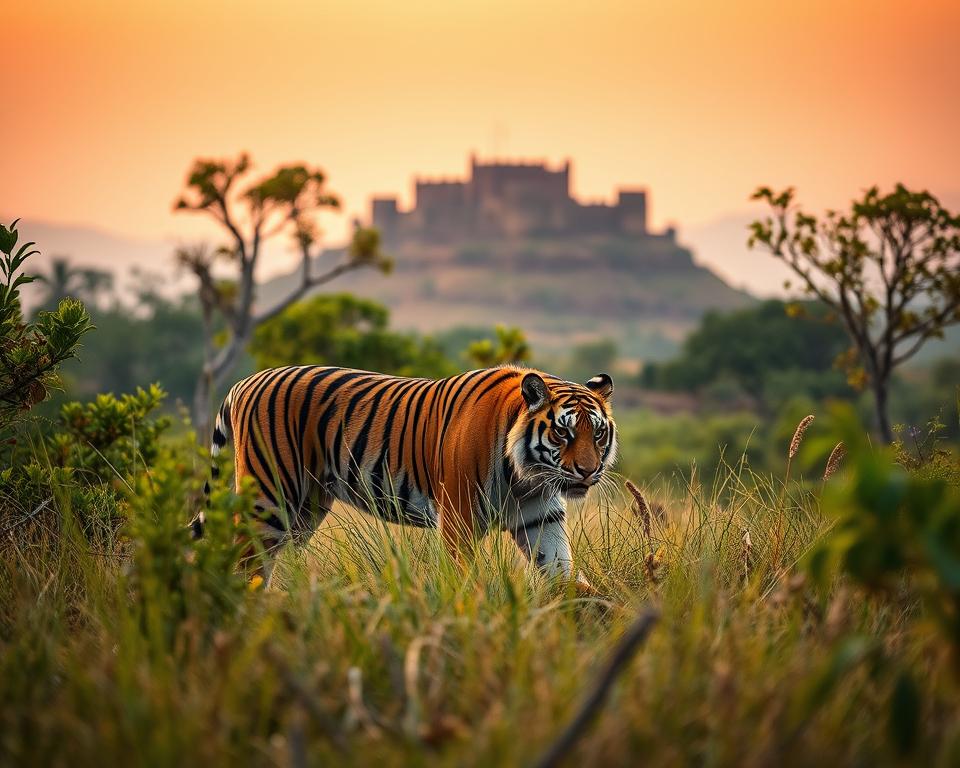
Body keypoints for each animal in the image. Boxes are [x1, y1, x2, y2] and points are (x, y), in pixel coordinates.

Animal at [194, 365, 617, 587]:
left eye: (597, 433)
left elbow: (562, 571)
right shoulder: (459, 516)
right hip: (268, 498)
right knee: (244, 563)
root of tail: (244, 381)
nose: (588, 470)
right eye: (562, 432)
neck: (527, 475)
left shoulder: (541, 517)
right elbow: (462, 576)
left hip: (305, 507)